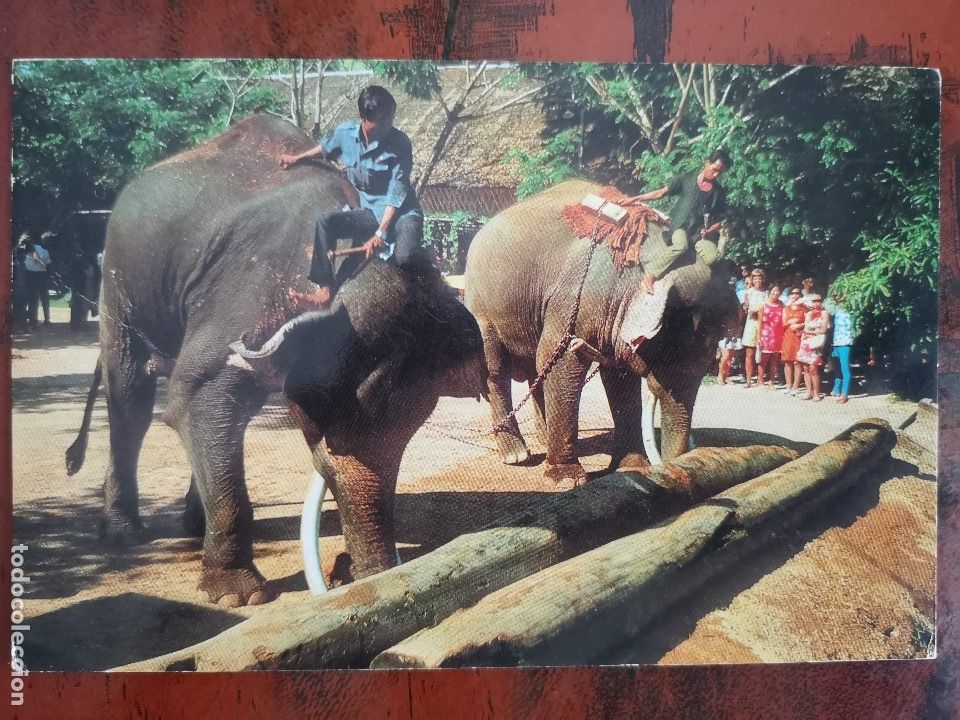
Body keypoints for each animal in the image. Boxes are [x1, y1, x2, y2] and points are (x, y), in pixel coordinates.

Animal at [66, 114, 487, 607]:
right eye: (331, 428)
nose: (348, 571)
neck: (345, 273)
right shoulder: (244, 295)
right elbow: (194, 396)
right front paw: (239, 597)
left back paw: (193, 524)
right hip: (120, 283)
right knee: (130, 398)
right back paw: (123, 534)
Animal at [465, 179, 741, 487]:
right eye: (668, 353)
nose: (678, 470)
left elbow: (619, 378)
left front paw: (630, 467)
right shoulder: (575, 297)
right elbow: (560, 358)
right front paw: (566, 480)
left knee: (535, 369)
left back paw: (543, 440)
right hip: (481, 306)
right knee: (496, 370)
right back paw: (516, 455)